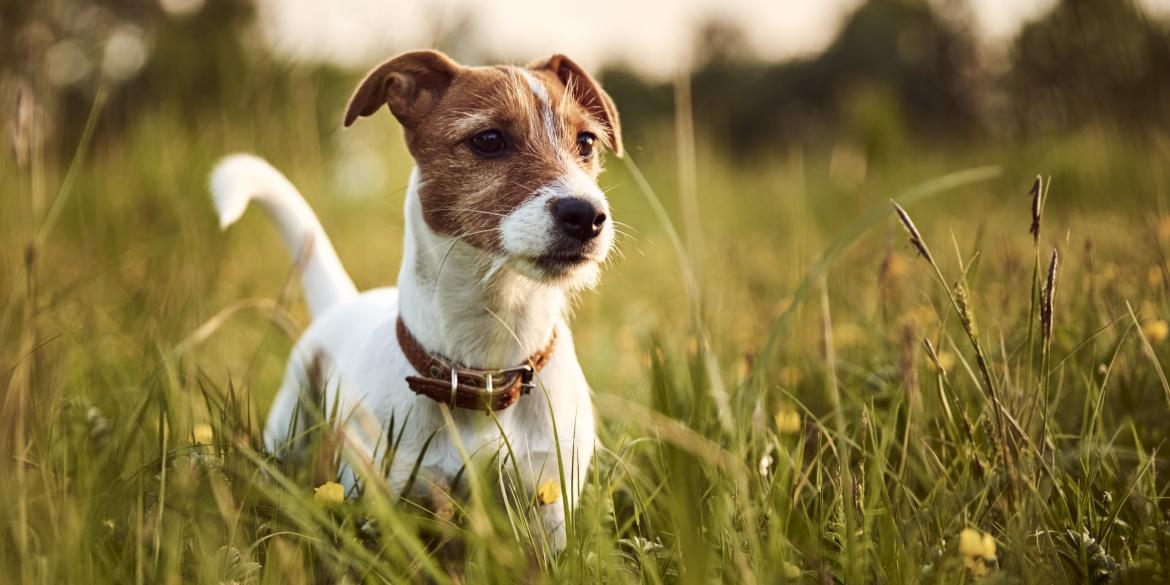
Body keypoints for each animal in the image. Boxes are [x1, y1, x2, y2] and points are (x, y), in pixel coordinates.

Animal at [209, 50, 622, 547]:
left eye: (587, 141)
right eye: (488, 140)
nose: (587, 215)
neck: (485, 368)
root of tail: (343, 302)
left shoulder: (549, 502)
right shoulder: (386, 501)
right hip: (289, 427)